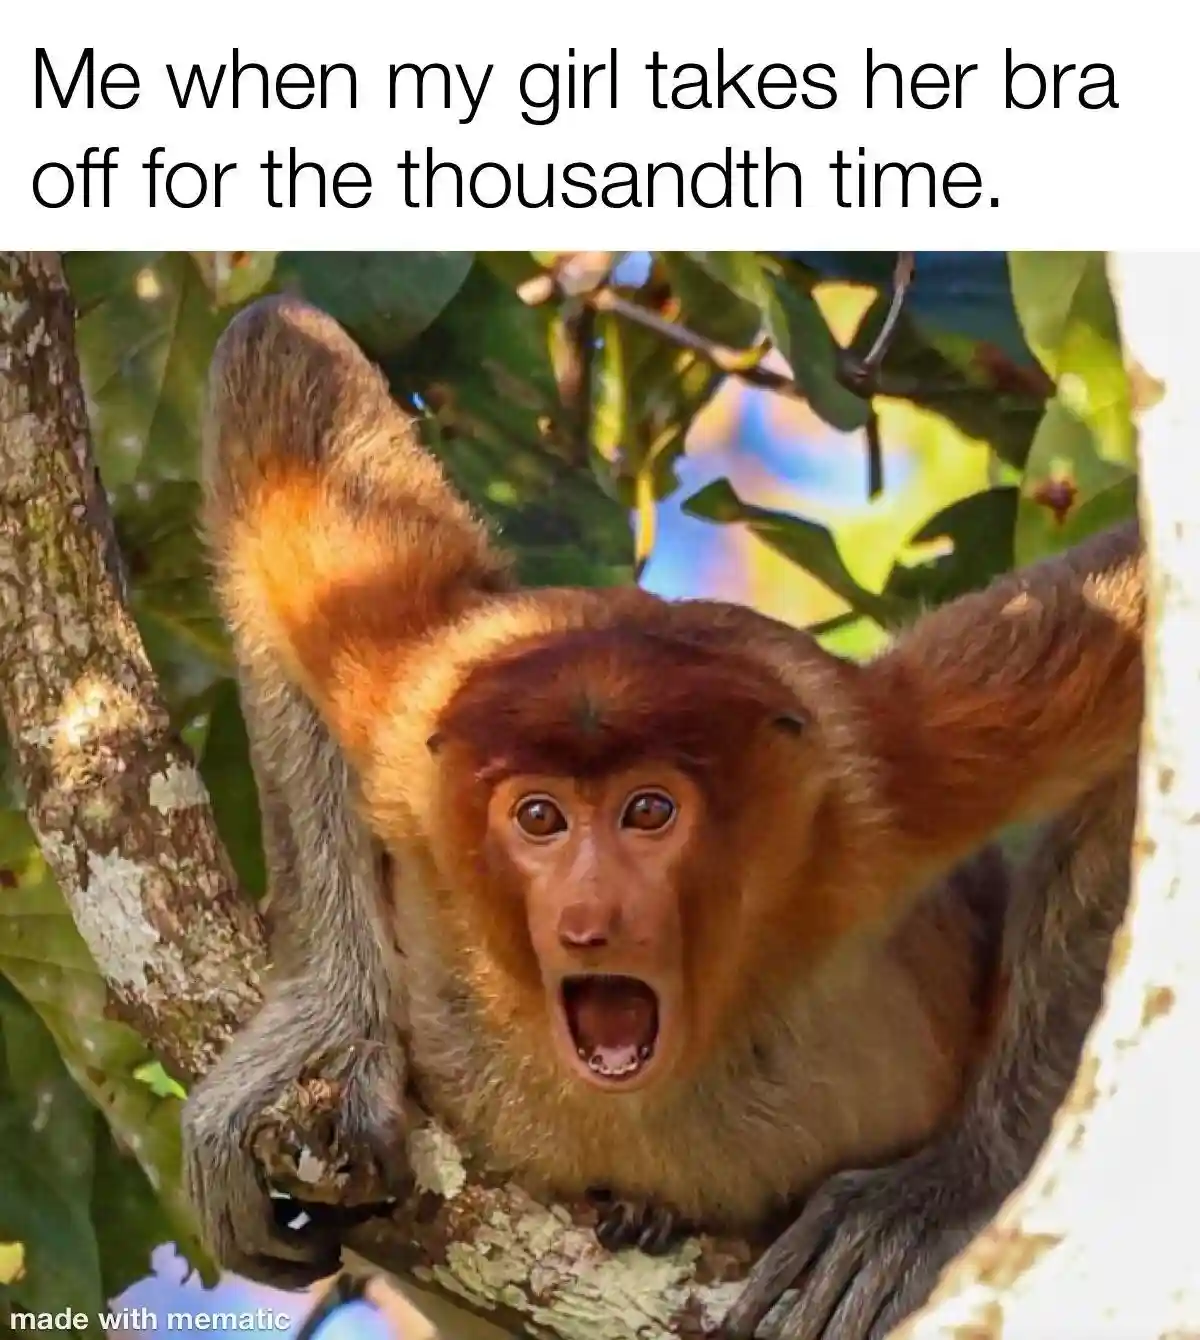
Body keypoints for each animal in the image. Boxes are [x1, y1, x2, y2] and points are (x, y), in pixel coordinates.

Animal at [180, 295, 1143, 1323]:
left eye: (649, 811)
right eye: (539, 818)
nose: (590, 919)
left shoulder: (884, 787)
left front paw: (943, 1192)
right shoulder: (412, 713)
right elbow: (278, 368)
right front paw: (325, 1030)